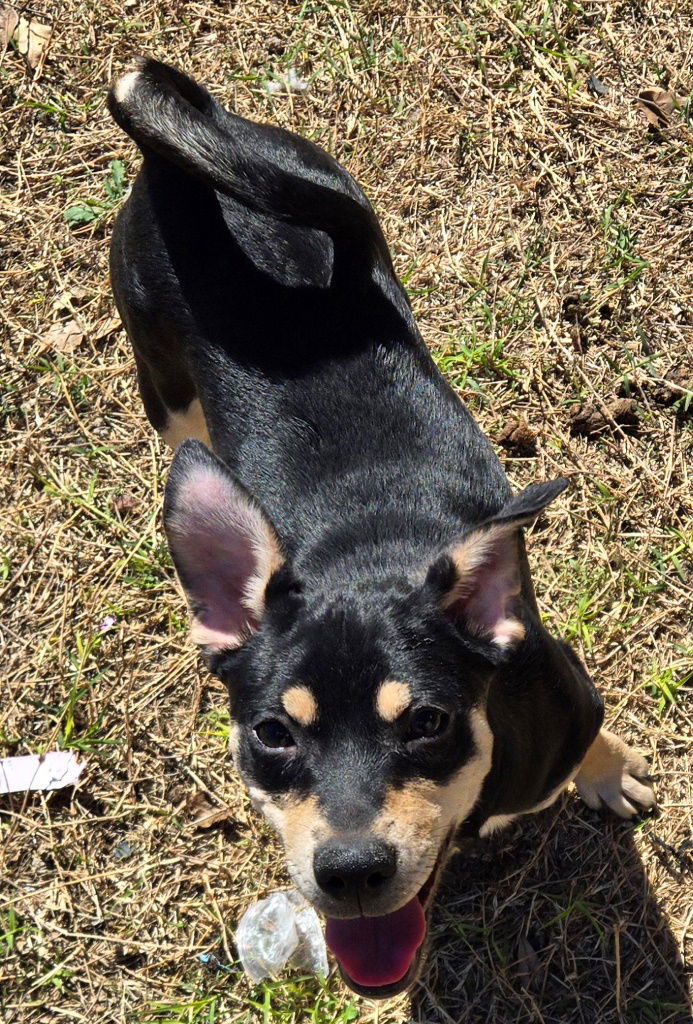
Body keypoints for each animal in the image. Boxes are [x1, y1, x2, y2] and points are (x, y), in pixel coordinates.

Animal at [107, 59, 655, 995]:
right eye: (272, 735)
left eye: (427, 722)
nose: (351, 872)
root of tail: (173, 165)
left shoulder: (564, 694)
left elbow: (589, 740)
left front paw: (609, 773)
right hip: (167, 394)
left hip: (327, 188)